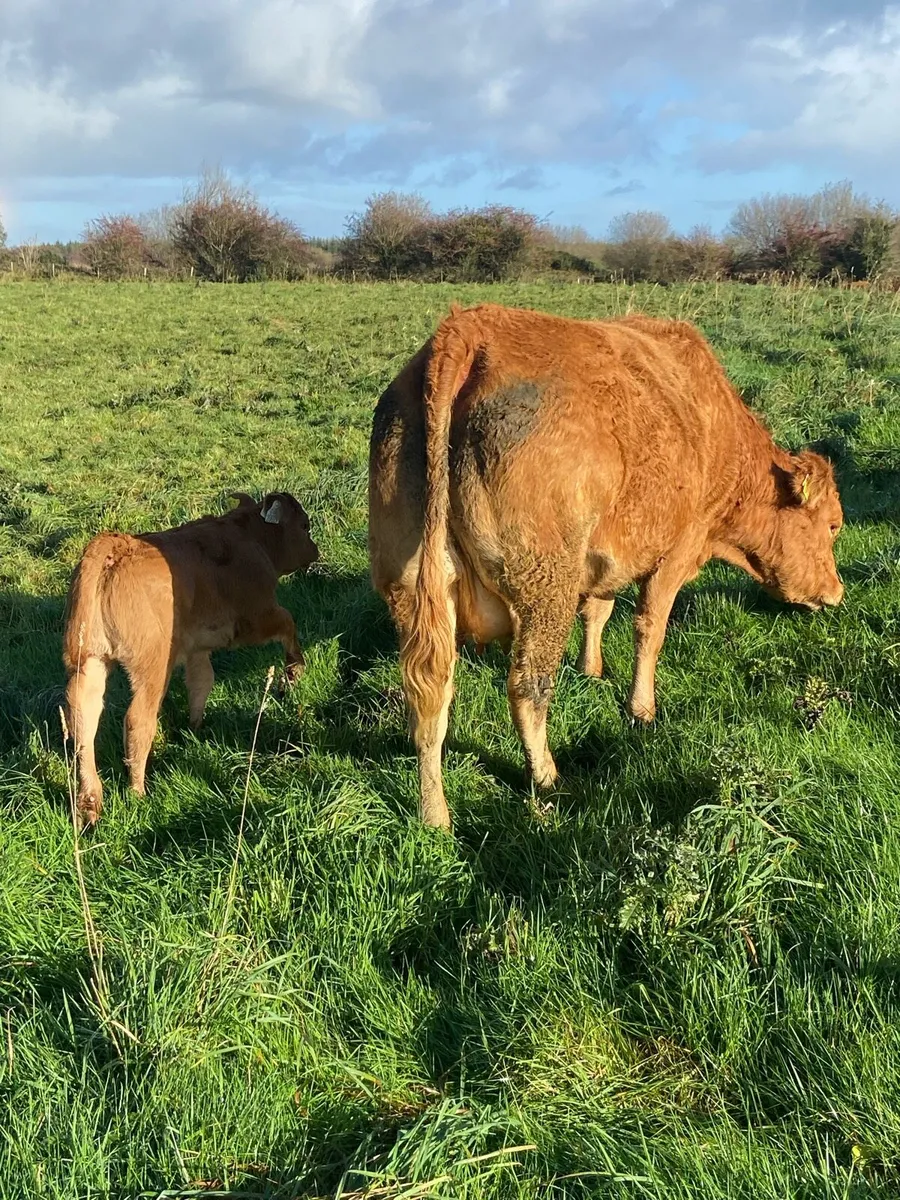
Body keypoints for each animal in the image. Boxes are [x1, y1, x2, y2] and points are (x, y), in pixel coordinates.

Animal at [63, 491, 319, 826]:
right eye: (305, 525)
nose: (315, 550)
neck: (250, 537)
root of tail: (114, 547)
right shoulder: (257, 616)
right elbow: (288, 622)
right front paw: (293, 671)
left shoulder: (198, 646)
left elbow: (201, 682)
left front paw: (196, 727)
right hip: (153, 665)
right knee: (138, 720)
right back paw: (138, 791)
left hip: (89, 662)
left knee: (84, 722)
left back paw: (90, 802)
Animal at [368, 303, 844, 830]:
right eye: (833, 526)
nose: (837, 592)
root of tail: (467, 328)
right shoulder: (676, 552)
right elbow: (649, 629)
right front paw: (642, 710)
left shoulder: (605, 555)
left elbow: (598, 611)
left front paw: (591, 670)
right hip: (544, 587)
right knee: (527, 689)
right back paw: (547, 778)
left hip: (411, 589)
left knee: (429, 698)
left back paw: (434, 814)